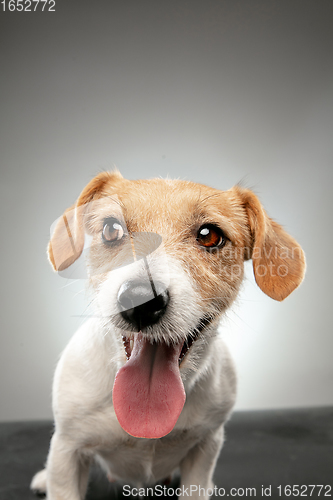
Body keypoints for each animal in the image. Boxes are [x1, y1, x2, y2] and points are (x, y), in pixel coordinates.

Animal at [30, 170, 304, 498]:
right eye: (111, 229)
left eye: (209, 235)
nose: (141, 301)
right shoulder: (67, 449)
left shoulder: (206, 446)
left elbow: (196, 486)